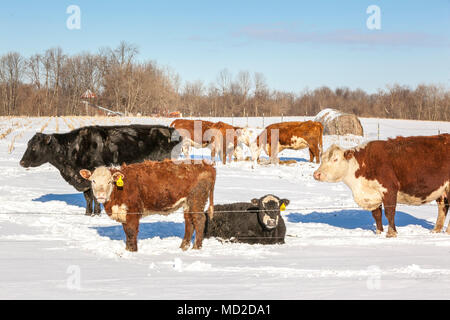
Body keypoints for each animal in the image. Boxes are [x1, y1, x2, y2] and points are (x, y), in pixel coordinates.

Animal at [20, 124, 183, 216]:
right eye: (28, 144)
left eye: (34, 147)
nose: (21, 162)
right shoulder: (84, 180)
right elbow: (88, 198)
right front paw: (88, 214)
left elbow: (95, 196)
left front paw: (97, 213)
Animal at [80, 159, 216, 251]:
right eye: (93, 180)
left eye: (109, 181)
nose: (101, 195)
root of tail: (207, 165)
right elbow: (126, 232)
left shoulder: (132, 212)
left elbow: (131, 232)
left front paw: (132, 251)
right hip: (187, 203)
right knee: (189, 222)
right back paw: (183, 247)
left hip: (196, 199)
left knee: (199, 220)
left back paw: (196, 247)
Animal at [312, 133, 450, 238]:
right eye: (323, 158)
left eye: (335, 159)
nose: (317, 174)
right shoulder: (373, 195)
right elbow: (376, 214)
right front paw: (379, 232)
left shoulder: (389, 189)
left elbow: (389, 212)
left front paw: (391, 233)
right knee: (443, 207)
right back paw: (436, 230)